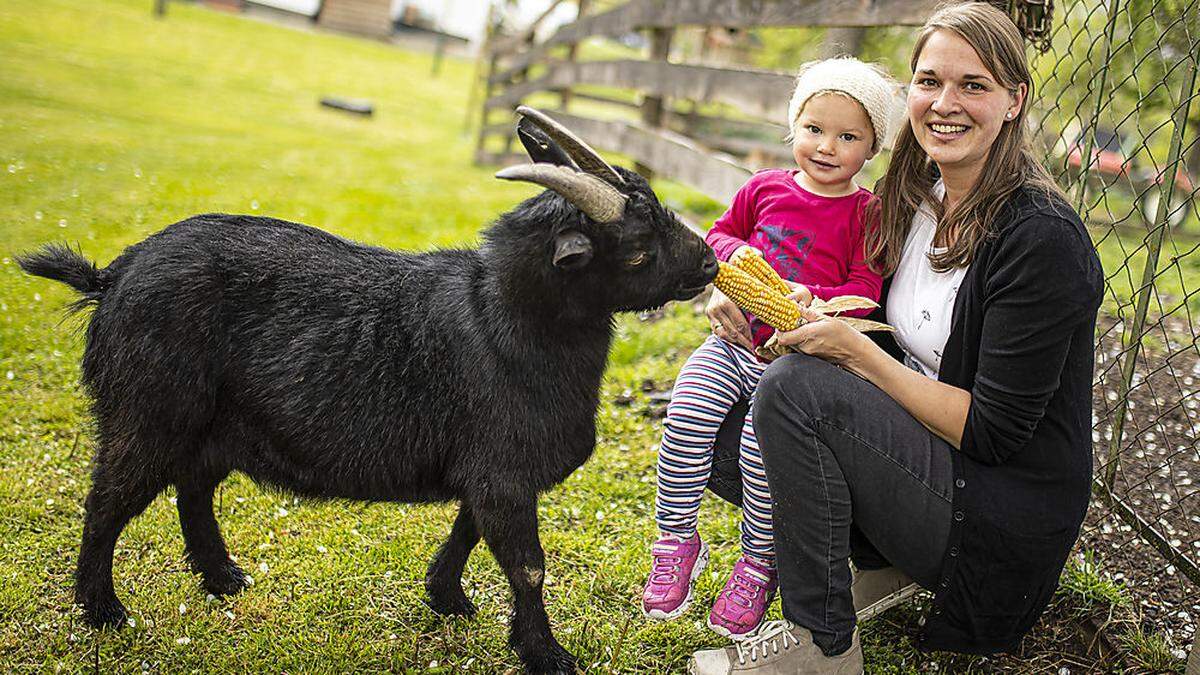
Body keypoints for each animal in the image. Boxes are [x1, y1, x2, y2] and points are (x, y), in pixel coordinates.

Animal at [18, 107, 715, 667]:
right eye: (636, 247)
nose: (709, 263)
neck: (504, 319)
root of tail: (110, 277)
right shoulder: (502, 468)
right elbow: (527, 566)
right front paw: (545, 654)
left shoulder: (488, 467)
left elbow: (468, 528)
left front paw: (448, 598)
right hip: (148, 413)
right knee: (108, 503)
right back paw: (102, 611)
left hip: (214, 426)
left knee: (193, 489)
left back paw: (223, 578)